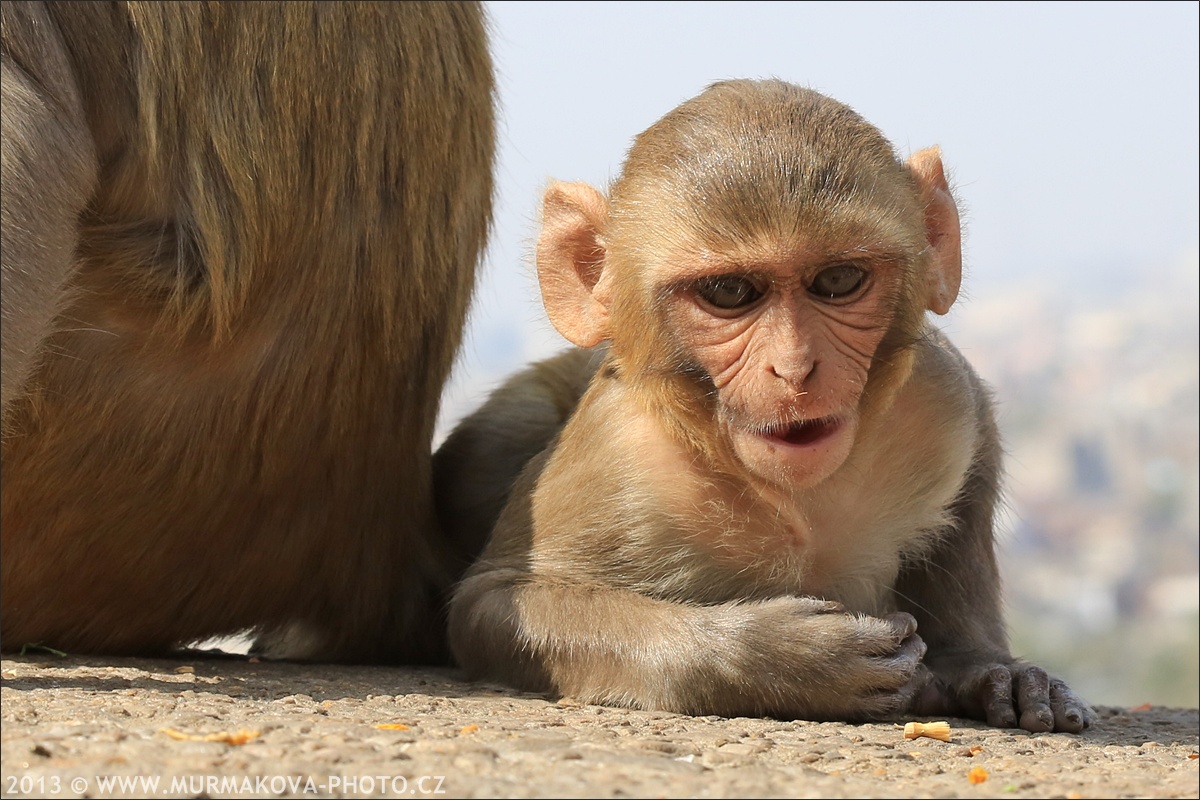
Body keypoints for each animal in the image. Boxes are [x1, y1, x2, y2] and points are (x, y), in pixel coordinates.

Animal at [441, 81, 1099, 734]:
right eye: (730, 292)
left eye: (838, 279)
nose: (795, 367)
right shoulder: (614, 451)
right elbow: (495, 601)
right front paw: (787, 659)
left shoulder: (944, 397)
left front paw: (987, 669)